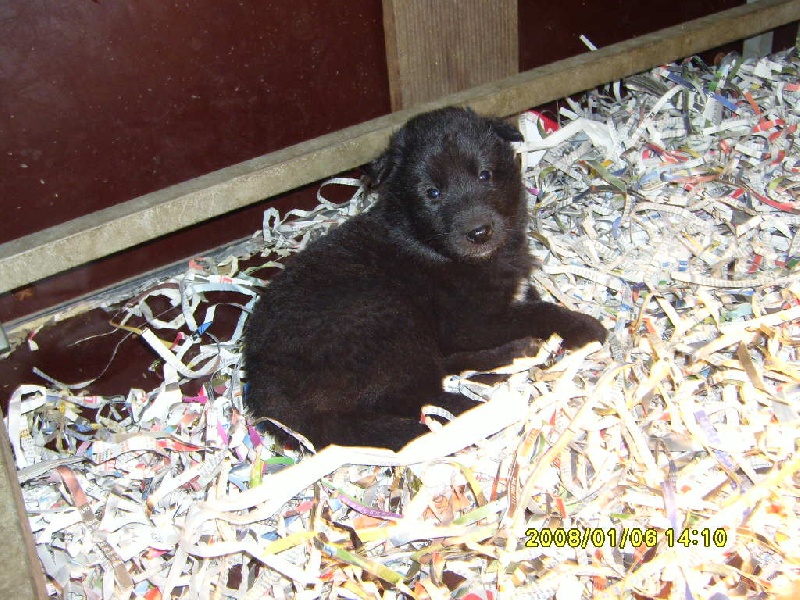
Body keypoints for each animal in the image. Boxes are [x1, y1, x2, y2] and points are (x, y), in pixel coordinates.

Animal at [244, 107, 607, 450]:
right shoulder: (470, 322)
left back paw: (513, 356)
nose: (479, 232)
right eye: (432, 193)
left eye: (485, 174)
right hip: (385, 319)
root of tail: (268, 398)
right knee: (417, 397)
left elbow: (531, 301)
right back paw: (478, 406)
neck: (427, 244)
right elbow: (536, 312)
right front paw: (585, 326)